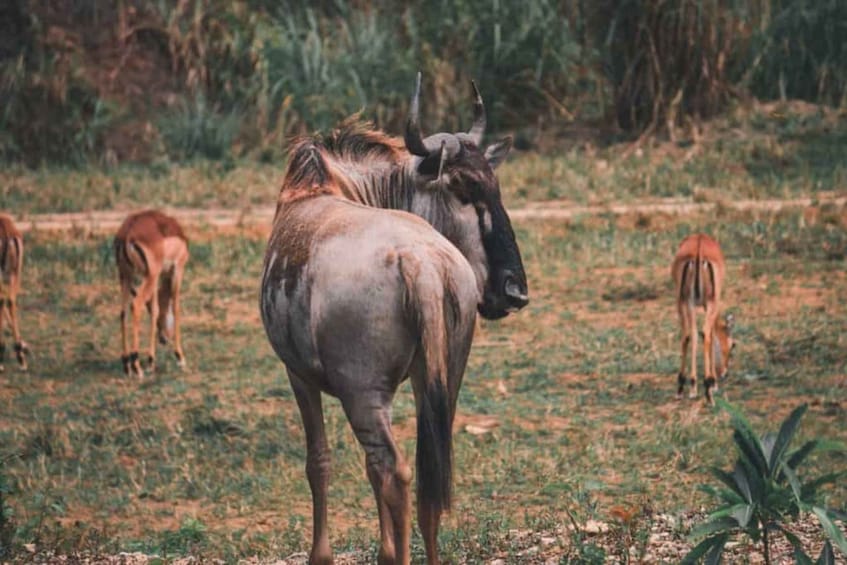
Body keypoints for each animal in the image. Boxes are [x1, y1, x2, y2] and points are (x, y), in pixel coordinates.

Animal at [114, 209, 189, 376]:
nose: (164, 339)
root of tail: (127, 232)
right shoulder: (177, 270)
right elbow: (175, 308)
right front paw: (180, 357)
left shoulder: (157, 278)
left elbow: (154, 309)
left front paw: (151, 360)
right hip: (149, 276)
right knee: (135, 305)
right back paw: (136, 365)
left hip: (126, 277)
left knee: (123, 312)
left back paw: (126, 364)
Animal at [264, 72, 528, 560]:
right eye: (465, 190)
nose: (514, 291)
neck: (321, 188)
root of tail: (419, 262)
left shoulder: (299, 375)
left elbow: (319, 461)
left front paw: (321, 555)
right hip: (442, 381)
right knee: (428, 479)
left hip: (362, 393)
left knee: (395, 471)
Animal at [672, 231, 732, 404]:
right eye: (733, 345)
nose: (725, 373)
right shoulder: (712, 305)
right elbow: (711, 336)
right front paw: (714, 383)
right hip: (708, 303)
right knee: (705, 334)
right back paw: (708, 390)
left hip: (684, 302)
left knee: (688, 335)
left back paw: (685, 387)